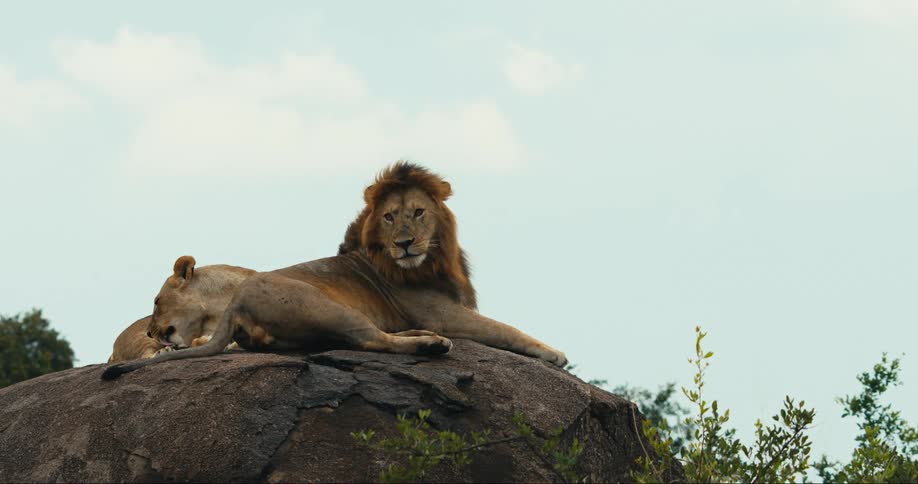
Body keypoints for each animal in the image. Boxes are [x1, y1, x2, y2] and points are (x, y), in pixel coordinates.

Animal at [102, 162, 567, 380]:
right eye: (389, 217)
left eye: (418, 213)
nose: (405, 244)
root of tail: (239, 304)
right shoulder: (444, 312)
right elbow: (506, 329)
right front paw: (554, 354)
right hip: (326, 306)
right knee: (372, 340)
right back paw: (430, 344)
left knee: (366, 337)